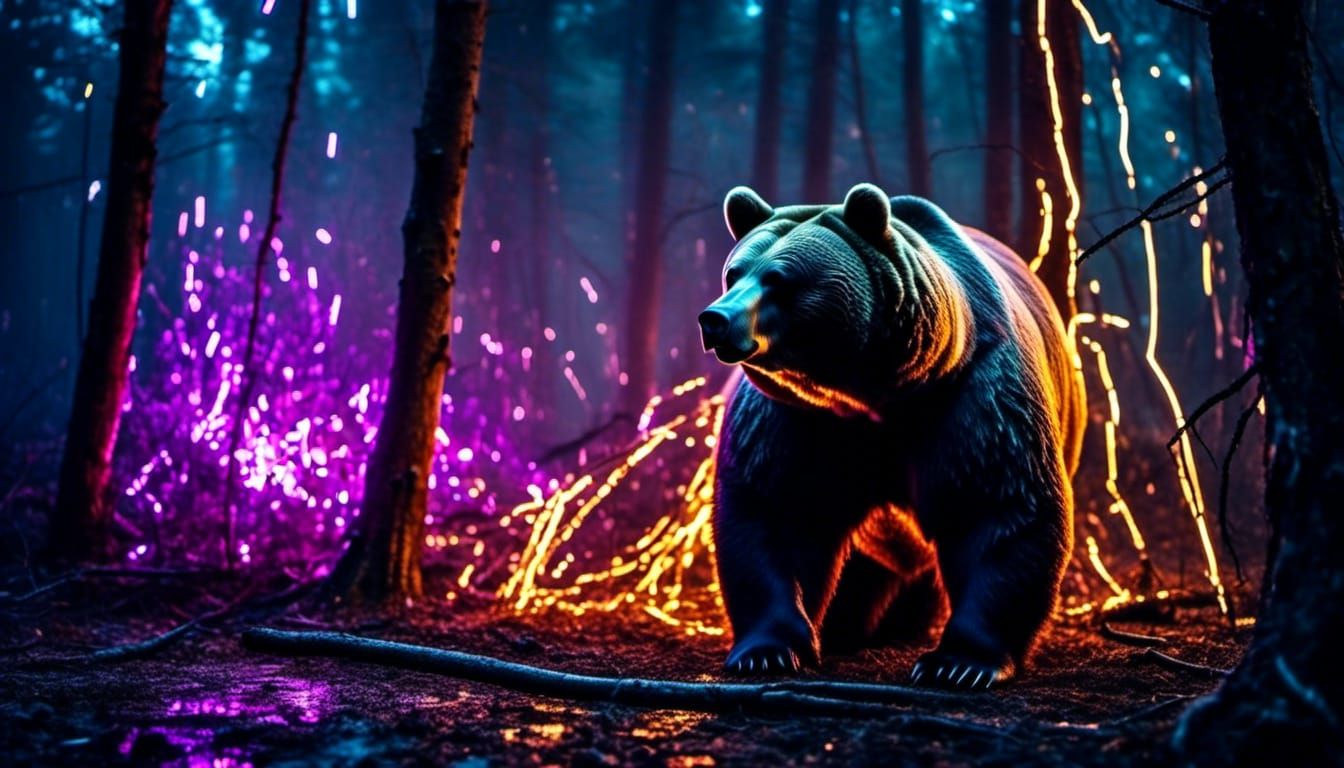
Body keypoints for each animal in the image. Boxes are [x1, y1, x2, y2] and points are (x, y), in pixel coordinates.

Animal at [698, 182, 1085, 690]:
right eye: (734, 272)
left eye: (779, 279)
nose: (715, 319)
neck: (870, 391)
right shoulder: (795, 415)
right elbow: (776, 509)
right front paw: (768, 650)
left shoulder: (972, 391)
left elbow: (997, 504)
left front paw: (958, 662)